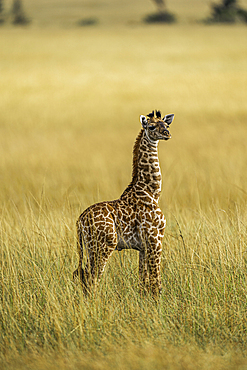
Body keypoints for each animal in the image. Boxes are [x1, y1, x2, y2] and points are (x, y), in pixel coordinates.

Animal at [72, 109, 175, 298]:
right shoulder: (155, 238)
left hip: (89, 247)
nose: (166, 134)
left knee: (83, 277)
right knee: (93, 279)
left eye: (167, 125)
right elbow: (156, 281)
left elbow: (143, 281)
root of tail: (80, 221)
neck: (152, 192)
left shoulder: (143, 247)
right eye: (151, 126)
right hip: (105, 245)